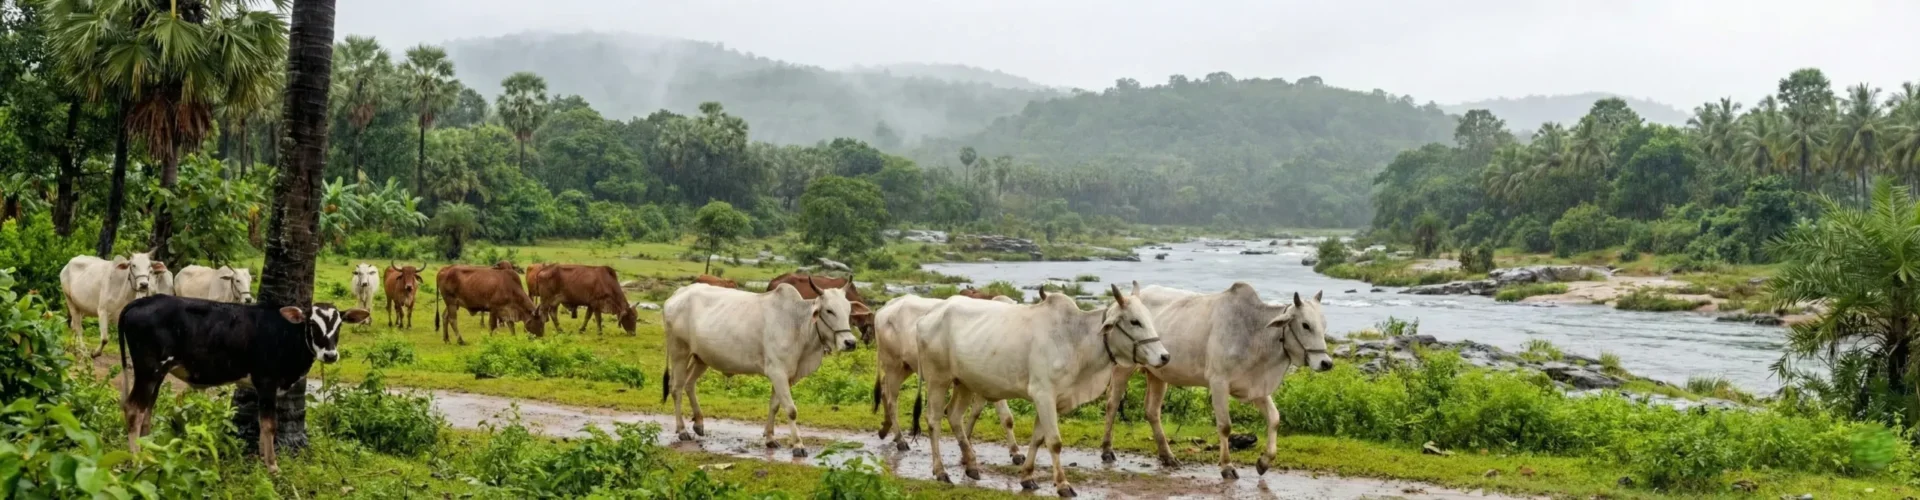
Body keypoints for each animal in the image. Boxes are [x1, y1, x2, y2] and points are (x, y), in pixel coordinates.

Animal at [116, 295, 368, 473]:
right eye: (312, 324)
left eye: (339, 326)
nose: (330, 355)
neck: (285, 334)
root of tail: (140, 301)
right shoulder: (267, 381)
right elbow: (269, 425)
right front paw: (272, 466)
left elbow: (261, 423)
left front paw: (261, 458)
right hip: (149, 370)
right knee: (133, 409)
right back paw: (138, 460)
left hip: (157, 373)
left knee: (147, 411)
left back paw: (150, 452)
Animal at [660, 281, 860, 458]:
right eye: (829, 310)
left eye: (848, 311)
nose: (850, 343)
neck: (797, 324)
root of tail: (677, 294)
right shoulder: (777, 372)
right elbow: (791, 410)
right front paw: (798, 445)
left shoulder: (786, 376)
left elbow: (775, 406)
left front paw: (770, 438)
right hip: (679, 352)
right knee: (676, 388)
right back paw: (682, 430)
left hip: (701, 358)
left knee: (689, 384)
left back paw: (699, 423)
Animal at [872, 294, 1024, 463]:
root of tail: (888, 306)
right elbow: (1006, 417)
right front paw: (1016, 453)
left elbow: (976, 412)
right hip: (893, 364)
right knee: (892, 401)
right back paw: (900, 440)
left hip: (905, 367)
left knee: (884, 389)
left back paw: (885, 428)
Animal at [915, 286, 1170, 497]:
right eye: (1135, 321)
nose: (1164, 356)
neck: (1076, 340)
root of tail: (929, 314)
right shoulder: (1043, 394)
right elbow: (1054, 442)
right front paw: (1063, 485)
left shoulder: (1051, 400)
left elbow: (1038, 439)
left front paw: (1027, 477)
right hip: (938, 379)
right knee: (934, 420)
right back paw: (941, 471)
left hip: (964, 382)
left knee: (954, 415)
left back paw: (971, 466)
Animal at [1097, 283, 1333, 480]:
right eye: (1305, 325)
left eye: (1324, 325)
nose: (1326, 363)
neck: (1255, 333)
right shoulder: (1219, 383)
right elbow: (1225, 426)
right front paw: (1227, 466)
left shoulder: (1256, 387)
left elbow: (1274, 418)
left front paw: (1264, 462)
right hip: (1123, 367)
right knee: (1112, 404)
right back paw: (1107, 450)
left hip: (1158, 373)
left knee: (1152, 411)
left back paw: (1168, 456)